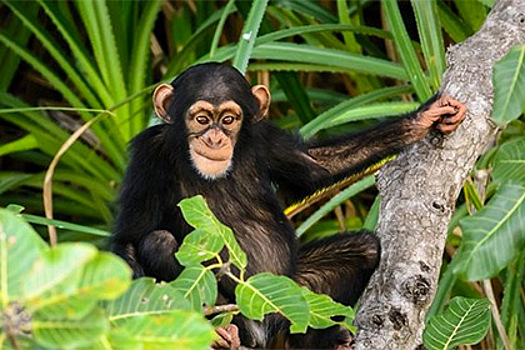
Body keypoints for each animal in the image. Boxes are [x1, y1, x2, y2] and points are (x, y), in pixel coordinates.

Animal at [111, 61, 466, 348]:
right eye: (200, 118)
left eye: (229, 119)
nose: (215, 138)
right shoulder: (147, 157)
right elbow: (129, 238)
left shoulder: (265, 137)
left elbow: (317, 167)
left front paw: (423, 118)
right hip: (241, 308)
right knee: (158, 243)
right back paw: (225, 335)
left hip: (292, 294)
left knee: (363, 250)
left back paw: (321, 340)